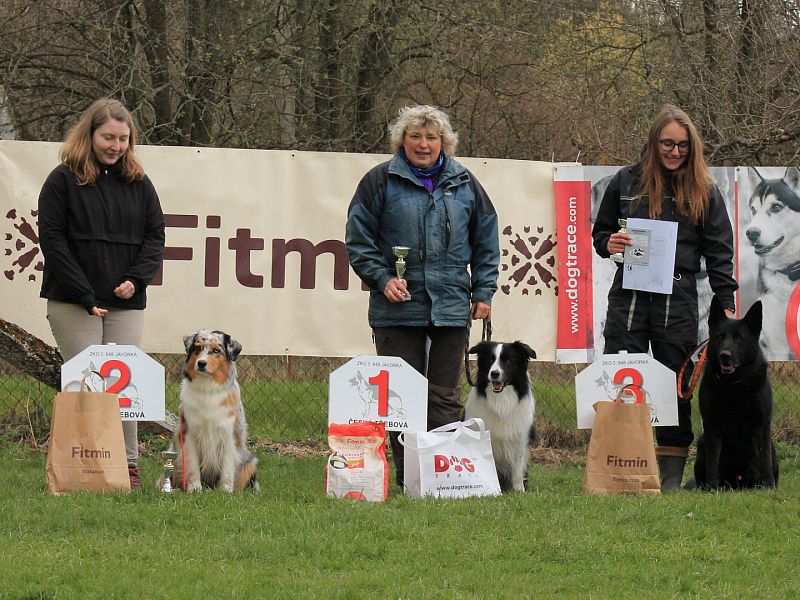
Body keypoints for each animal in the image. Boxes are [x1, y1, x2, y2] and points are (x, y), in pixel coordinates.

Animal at [161, 328, 260, 492]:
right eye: (197, 348)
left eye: (216, 350)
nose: (201, 363)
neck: (207, 388)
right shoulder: (189, 433)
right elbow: (193, 465)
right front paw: (194, 488)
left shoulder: (229, 434)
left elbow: (227, 467)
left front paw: (225, 490)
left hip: (249, 462)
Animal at [462, 342, 536, 492]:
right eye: (490, 360)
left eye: (508, 361)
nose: (494, 373)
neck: (501, 400)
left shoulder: (520, 438)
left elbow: (517, 466)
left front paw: (519, 490)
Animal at [692, 296, 780, 488]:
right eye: (720, 337)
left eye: (739, 338)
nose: (725, 355)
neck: (733, 385)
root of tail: (737, 483)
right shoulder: (712, 425)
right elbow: (713, 459)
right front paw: (711, 487)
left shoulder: (762, 425)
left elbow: (764, 459)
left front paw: (769, 486)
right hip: (701, 442)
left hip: (771, 445)